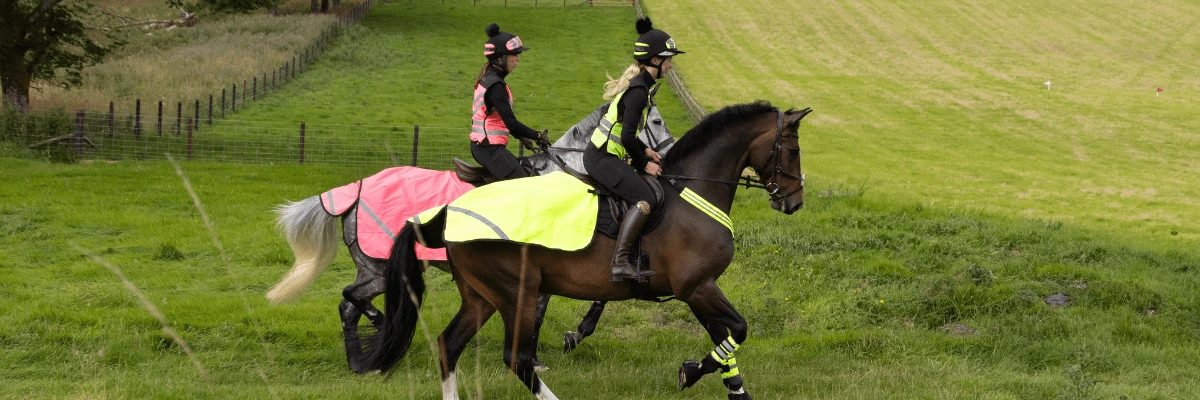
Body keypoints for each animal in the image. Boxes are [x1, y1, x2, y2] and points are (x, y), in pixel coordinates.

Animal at [267, 102, 677, 373]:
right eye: (656, 120)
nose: (666, 161)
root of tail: (355, 188)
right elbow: (547, 311)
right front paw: (545, 351)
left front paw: (552, 348)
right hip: (378, 268)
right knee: (351, 300)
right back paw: (375, 335)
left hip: (376, 269)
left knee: (349, 305)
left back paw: (359, 361)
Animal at [359, 102, 811, 400]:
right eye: (792, 150)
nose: (794, 202)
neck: (691, 191)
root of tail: (450, 211)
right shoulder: (697, 286)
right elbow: (737, 330)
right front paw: (688, 372)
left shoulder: (699, 288)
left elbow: (727, 340)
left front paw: (729, 387)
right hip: (517, 292)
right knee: (516, 358)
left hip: (481, 298)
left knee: (448, 346)